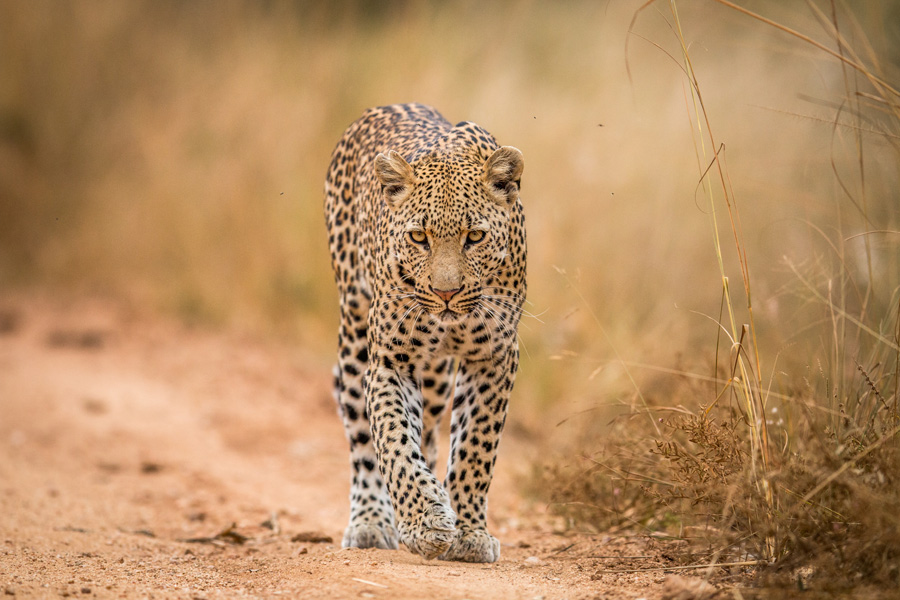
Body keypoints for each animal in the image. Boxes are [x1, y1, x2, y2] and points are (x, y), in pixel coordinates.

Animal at [324, 103, 524, 564]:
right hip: (354, 336)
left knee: (431, 432)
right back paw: (371, 522)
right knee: (362, 437)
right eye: (418, 236)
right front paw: (424, 522)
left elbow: (475, 447)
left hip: (435, 378)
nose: (445, 293)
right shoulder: (390, 361)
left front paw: (469, 533)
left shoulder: (494, 357)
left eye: (475, 236)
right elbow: (394, 441)